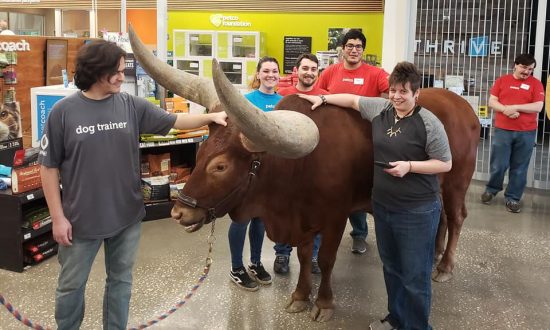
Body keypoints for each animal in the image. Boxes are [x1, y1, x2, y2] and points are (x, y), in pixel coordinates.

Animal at [128, 26, 478, 322]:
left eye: (221, 166)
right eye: (199, 155)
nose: (178, 211)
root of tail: (462, 106)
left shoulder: (335, 217)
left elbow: (326, 259)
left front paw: (323, 303)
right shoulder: (304, 219)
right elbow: (305, 253)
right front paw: (299, 295)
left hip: (457, 182)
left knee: (456, 216)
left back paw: (444, 265)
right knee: (440, 218)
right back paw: (433, 255)